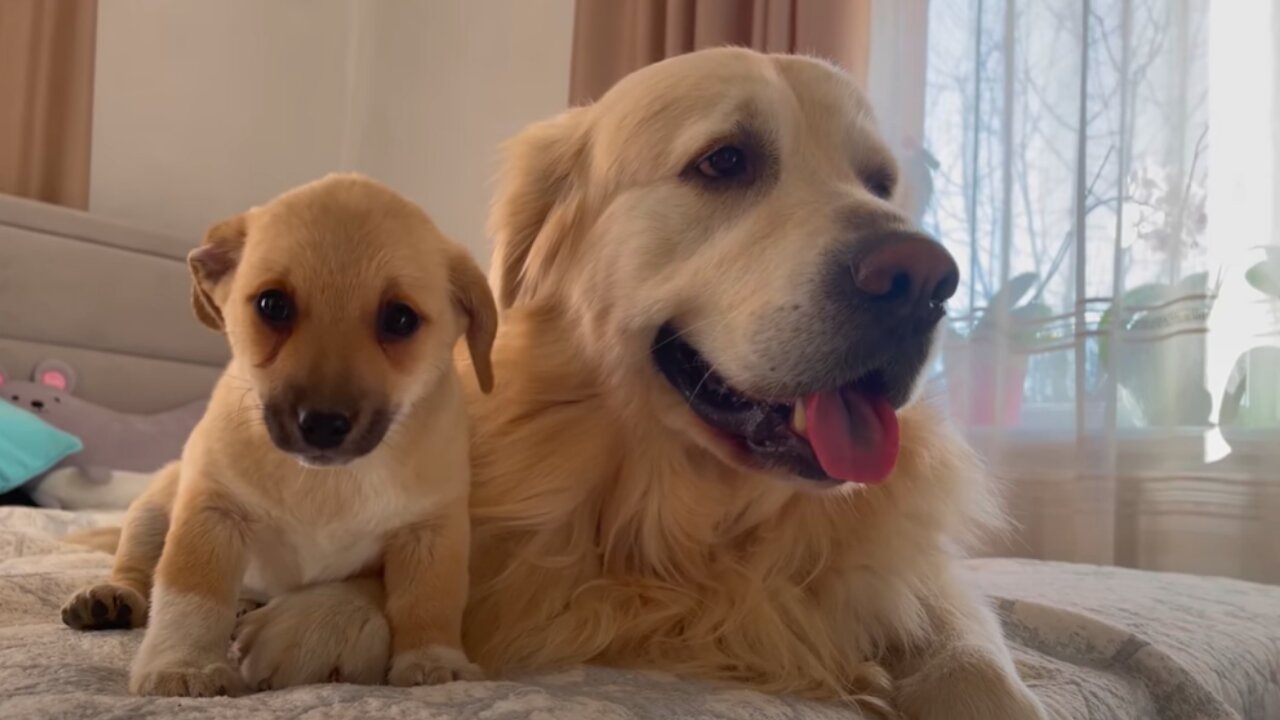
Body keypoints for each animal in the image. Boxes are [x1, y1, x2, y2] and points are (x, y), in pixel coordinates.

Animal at [62, 174, 496, 696]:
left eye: (400, 318)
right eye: (273, 305)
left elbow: (429, 600)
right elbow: (190, 597)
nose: (323, 424)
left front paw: (434, 660)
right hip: (152, 509)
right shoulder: (211, 513)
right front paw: (184, 665)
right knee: (136, 568)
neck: (330, 484)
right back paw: (110, 596)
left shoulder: (432, 531)